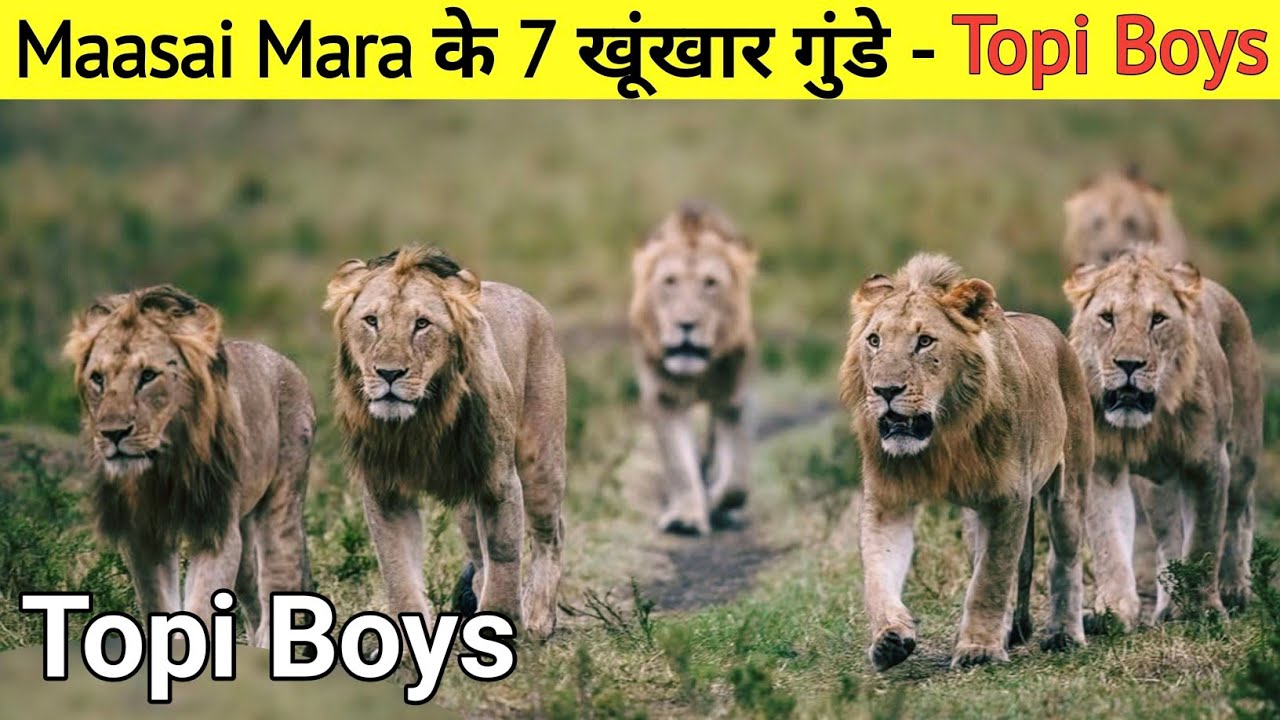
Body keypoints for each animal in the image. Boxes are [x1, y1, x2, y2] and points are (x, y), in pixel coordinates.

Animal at [64, 285, 315, 646]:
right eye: (97, 379)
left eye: (148, 376)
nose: (112, 433)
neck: (166, 467)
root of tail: (282, 359)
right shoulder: (144, 536)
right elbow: (157, 603)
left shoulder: (216, 531)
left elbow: (200, 604)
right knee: (252, 592)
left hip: (281, 504)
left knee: (279, 576)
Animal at [324, 247, 566, 641]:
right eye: (371, 321)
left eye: (422, 324)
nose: (389, 373)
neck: (420, 421)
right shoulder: (385, 491)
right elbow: (399, 572)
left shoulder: (499, 481)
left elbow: (504, 558)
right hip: (467, 505)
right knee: (478, 553)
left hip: (540, 463)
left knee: (552, 534)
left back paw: (538, 617)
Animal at [629, 202, 757, 536]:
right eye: (669, 281)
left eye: (710, 283)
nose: (686, 324)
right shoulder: (663, 398)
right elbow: (678, 465)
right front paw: (685, 518)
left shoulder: (733, 397)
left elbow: (737, 478)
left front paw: (718, 500)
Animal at [838, 254, 1093, 671]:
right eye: (874, 340)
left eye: (924, 341)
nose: (885, 390)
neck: (941, 438)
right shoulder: (887, 500)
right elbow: (878, 574)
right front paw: (890, 637)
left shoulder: (1009, 497)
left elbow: (991, 578)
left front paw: (979, 650)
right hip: (976, 515)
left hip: (1068, 488)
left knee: (1064, 560)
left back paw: (1064, 635)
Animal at [1064, 249, 1262, 625]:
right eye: (1107, 318)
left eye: (1157, 319)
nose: (1129, 364)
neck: (1147, 425)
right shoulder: (1103, 468)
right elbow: (1109, 540)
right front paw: (1113, 611)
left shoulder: (1209, 464)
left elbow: (1203, 540)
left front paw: (1202, 609)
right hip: (1158, 488)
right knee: (1168, 539)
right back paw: (1168, 607)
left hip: (1243, 454)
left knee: (1239, 514)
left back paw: (1235, 588)